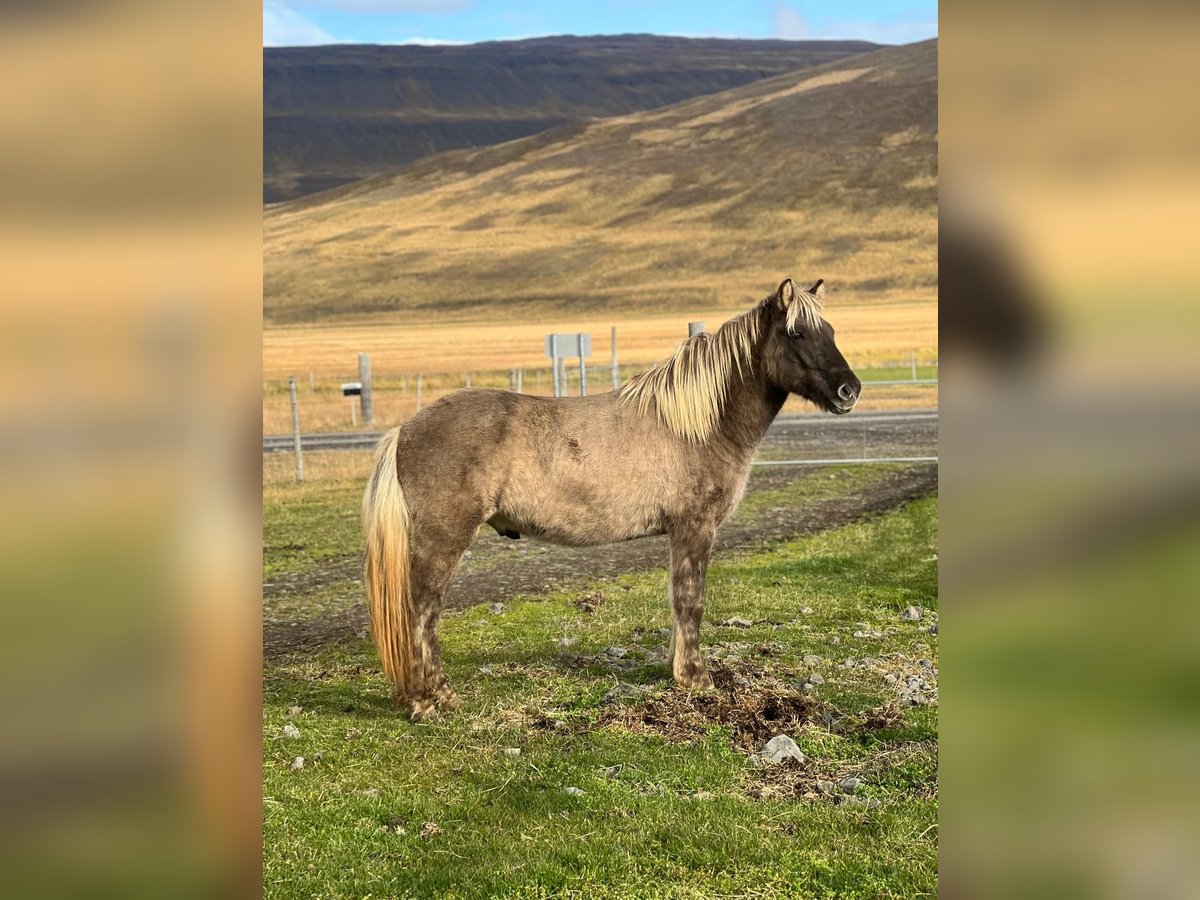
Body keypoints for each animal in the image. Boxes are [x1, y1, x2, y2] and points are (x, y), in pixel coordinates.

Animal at [360, 278, 859, 724]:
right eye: (797, 333)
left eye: (832, 331)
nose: (849, 390)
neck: (699, 424)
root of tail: (405, 429)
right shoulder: (695, 528)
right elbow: (691, 600)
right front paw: (696, 679)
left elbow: (678, 600)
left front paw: (679, 672)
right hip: (442, 541)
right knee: (422, 611)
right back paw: (429, 701)